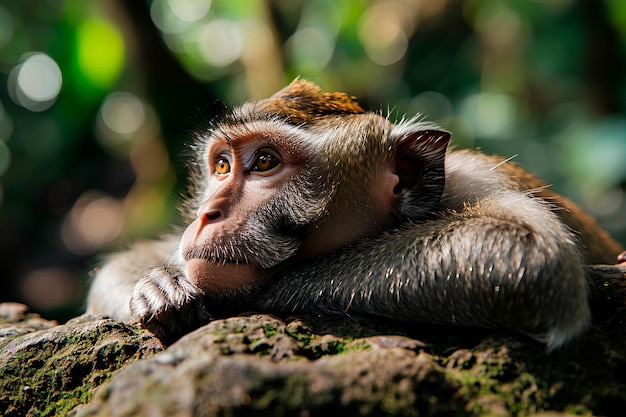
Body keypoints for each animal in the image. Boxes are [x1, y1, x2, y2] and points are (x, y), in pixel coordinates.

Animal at [85, 78, 620, 348]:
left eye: (265, 162)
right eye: (221, 166)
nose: (208, 214)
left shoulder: (478, 182)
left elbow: (527, 251)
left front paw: (264, 293)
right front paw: (161, 283)